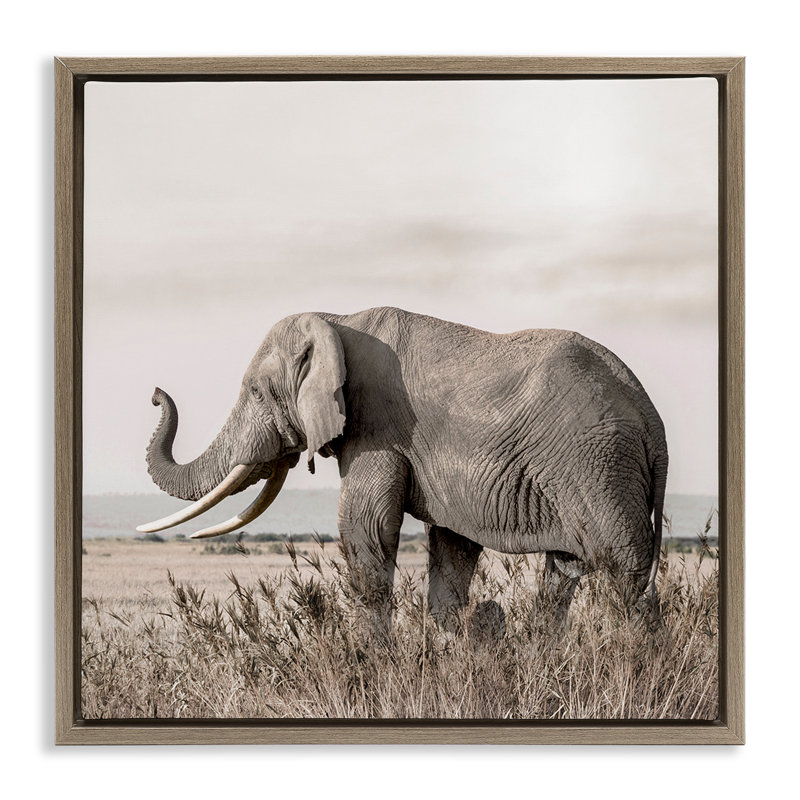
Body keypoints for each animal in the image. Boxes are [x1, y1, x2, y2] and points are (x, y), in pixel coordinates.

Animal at [138, 306, 668, 639]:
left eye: (255, 391)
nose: (155, 393)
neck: (338, 321)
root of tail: (651, 419)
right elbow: (452, 548)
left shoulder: (378, 427)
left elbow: (365, 527)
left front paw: (372, 665)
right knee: (564, 574)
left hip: (598, 465)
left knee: (622, 577)